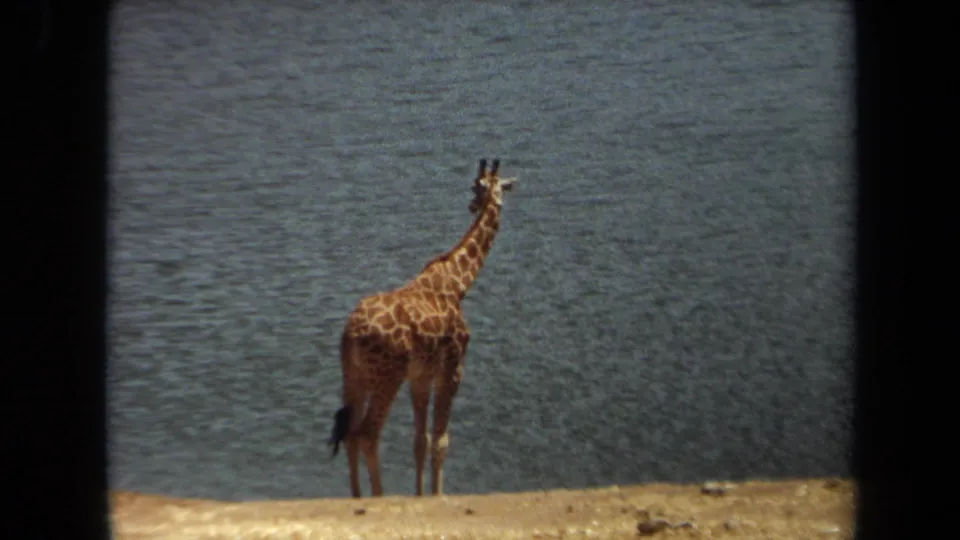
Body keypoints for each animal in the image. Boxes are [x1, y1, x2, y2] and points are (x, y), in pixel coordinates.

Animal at [327, 158, 516, 498]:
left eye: (476, 189)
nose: (473, 205)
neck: (457, 283)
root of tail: (351, 334)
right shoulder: (452, 369)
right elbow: (441, 441)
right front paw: (438, 495)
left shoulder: (421, 376)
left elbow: (420, 441)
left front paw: (420, 494)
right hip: (387, 377)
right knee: (367, 434)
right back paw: (379, 496)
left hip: (353, 375)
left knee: (349, 433)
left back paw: (356, 496)